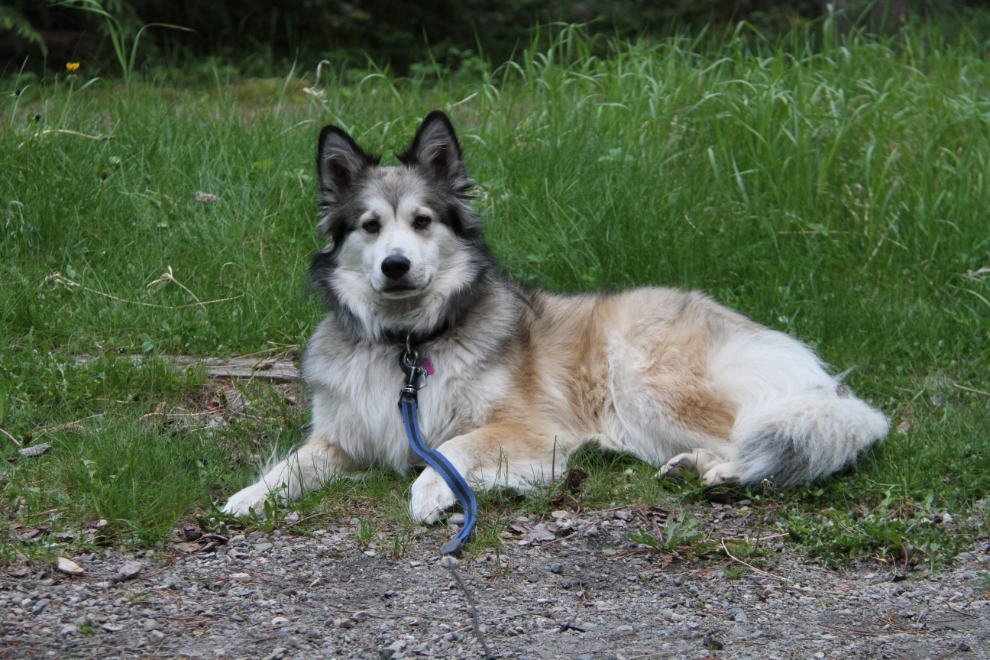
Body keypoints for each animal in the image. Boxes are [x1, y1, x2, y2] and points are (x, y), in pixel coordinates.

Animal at [223, 112, 892, 524]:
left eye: (422, 221)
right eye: (368, 226)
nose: (395, 265)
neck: (409, 342)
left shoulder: (530, 431)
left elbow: (455, 449)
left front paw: (431, 493)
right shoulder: (344, 436)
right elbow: (292, 465)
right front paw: (249, 498)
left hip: (649, 380)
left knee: (762, 434)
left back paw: (726, 472)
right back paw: (691, 468)